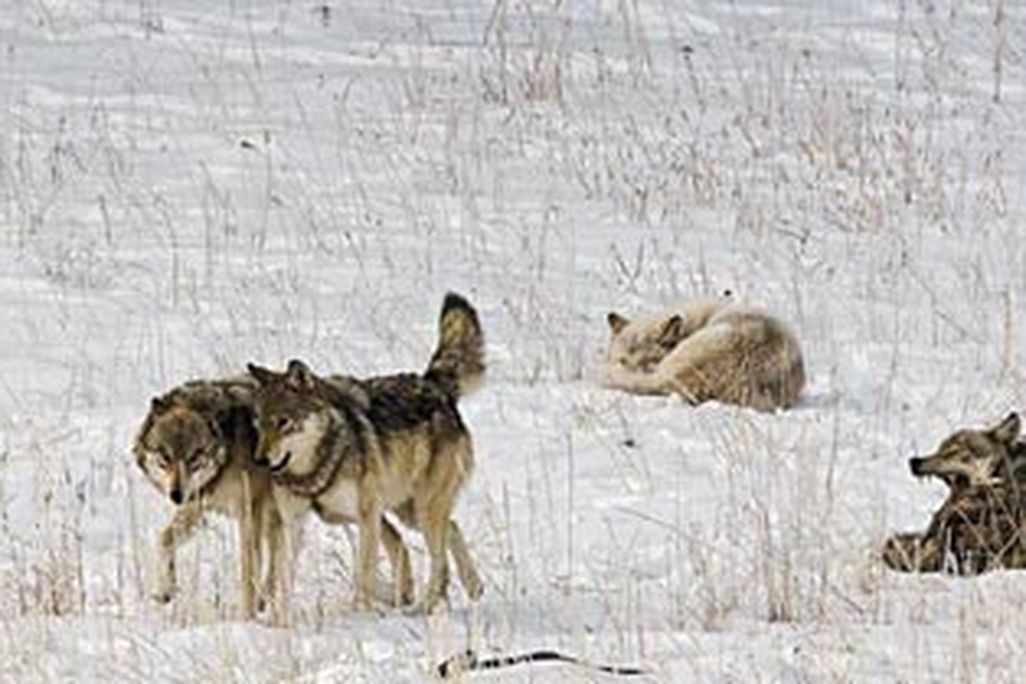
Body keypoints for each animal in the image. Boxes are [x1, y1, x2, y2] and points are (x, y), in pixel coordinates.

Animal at [133, 376, 283, 617]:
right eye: (165, 456)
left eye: (194, 456)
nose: (176, 495)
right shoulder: (195, 505)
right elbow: (163, 540)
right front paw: (165, 589)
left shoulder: (250, 513)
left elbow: (249, 571)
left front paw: (246, 618)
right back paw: (265, 601)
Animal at [248, 292, 485, 612]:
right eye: (258, 423)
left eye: (284, 422)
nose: (259, 460)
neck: (317, 467)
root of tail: (433, 385)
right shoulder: (293, 521)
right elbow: (281, 576)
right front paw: (277, 617)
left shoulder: (367, 517)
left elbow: (364, 575)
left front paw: (360, 614)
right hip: (408, 510)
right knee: (453, 527)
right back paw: (472, 587)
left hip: (421, 509)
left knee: (439, 555)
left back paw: (428, 605)